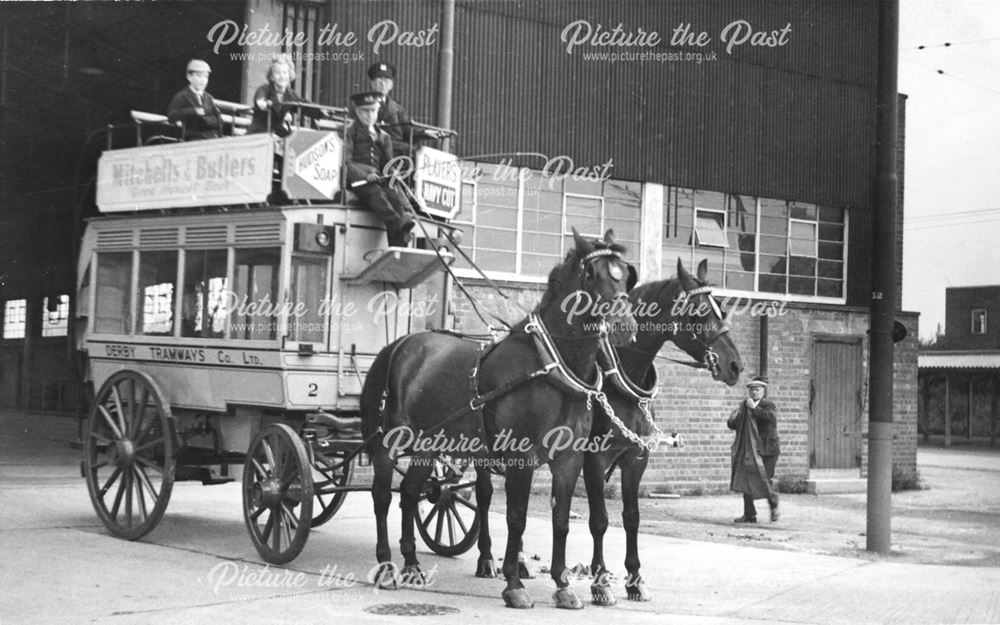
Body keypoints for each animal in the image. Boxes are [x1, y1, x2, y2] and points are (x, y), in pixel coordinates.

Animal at [360, 232, 636, 608]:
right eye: (591, 274)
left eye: (625, 274)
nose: (625, 326)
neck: (550, 368)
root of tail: (402, 344)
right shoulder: (520, 457)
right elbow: (516, 518)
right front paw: (514, 584)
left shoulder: (569, 459)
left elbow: (561, 520)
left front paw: (562, 585)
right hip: (390, 439)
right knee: (382, 497)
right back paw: (387, 567)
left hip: (428, 444)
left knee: (409, 492)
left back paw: (413, 564)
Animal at [584, 256, 744, 604]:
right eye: (698, 311)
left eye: (722, 308)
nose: (735, 366)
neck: (621, 381)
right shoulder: (594, 461)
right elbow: (599, 520)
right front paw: (601, 583)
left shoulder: (636, 458)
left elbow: (631, 517)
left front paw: (634, 580)